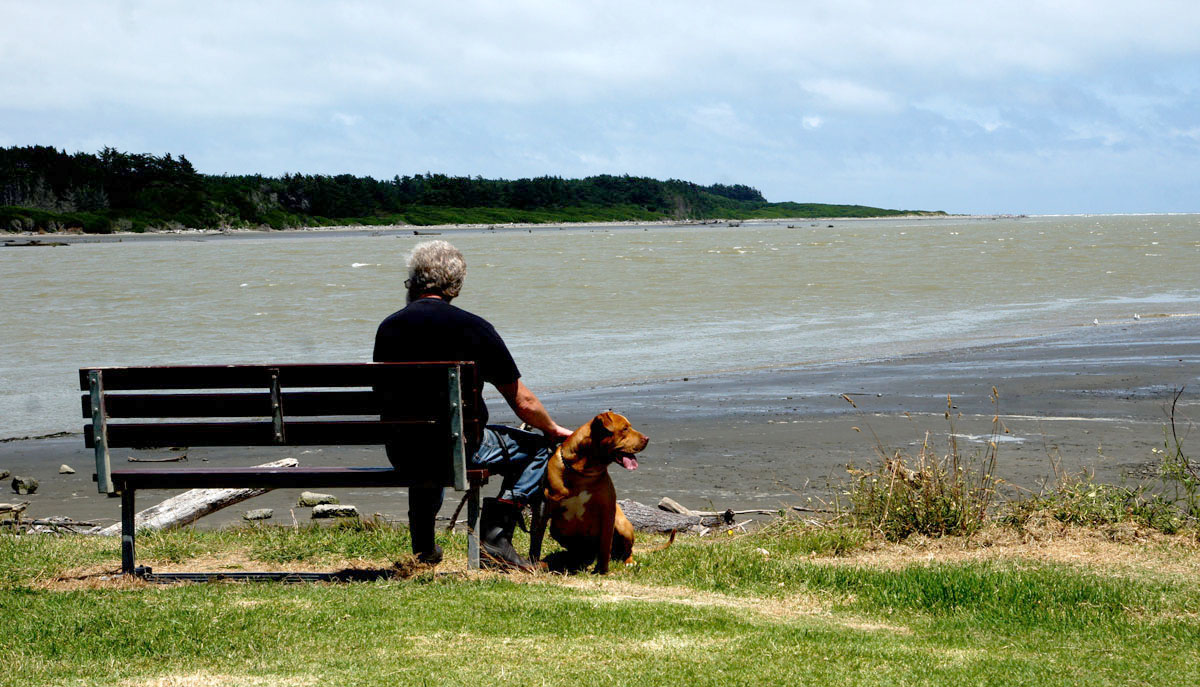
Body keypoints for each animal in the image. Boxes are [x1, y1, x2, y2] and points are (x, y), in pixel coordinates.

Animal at [537, 410, 648, 571]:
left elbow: (605, 544)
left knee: (625, 550)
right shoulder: (544, 508)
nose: (647, 439)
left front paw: (603, 571)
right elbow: (537, 538)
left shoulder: (608, 511)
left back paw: (628, 561)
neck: (582, 471)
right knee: (576, 550)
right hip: (557, 530)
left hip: (623, 525)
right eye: (625, 429)